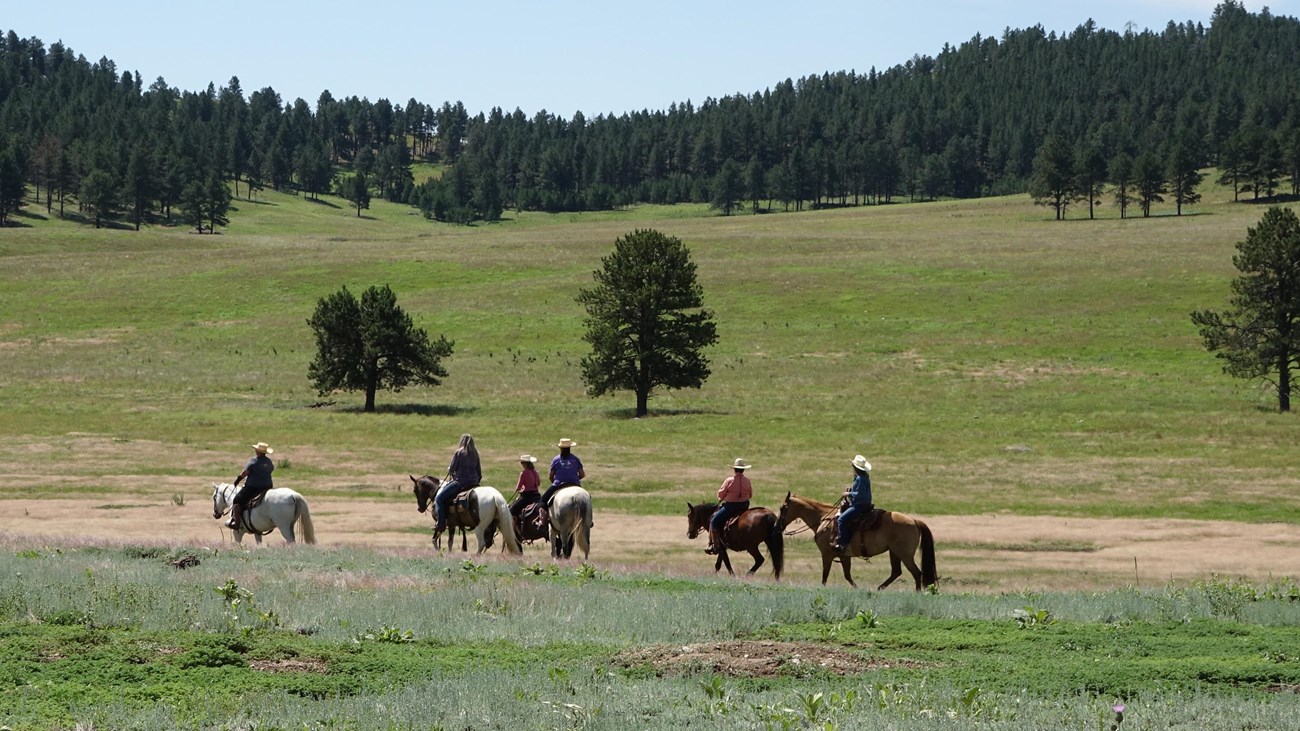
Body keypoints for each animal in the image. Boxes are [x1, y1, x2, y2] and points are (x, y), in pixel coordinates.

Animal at [774, 489, 941, 585]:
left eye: (782, 508)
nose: (776, 526)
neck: (823, 519)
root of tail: (914, 520)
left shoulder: (827, 555)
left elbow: (825, 577)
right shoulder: (844, 556)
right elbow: (848, 576)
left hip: (904, 554)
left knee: (916, 573)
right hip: (894, 552)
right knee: (896, 572)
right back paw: (879, 589)